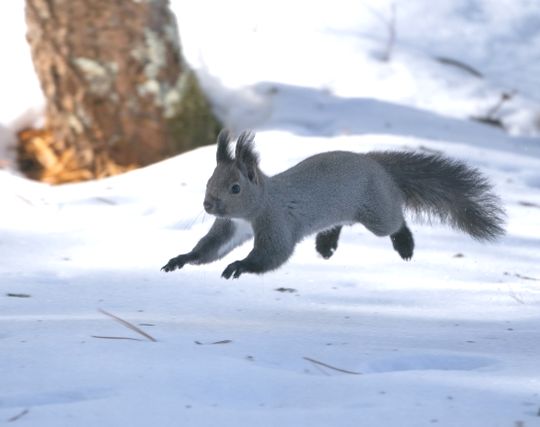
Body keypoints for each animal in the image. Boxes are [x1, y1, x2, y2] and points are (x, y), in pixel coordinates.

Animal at [161, 130, 506, 280]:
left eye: (235, 187)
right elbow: (210, 249)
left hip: (377, 211)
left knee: (395, 222)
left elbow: (273, 254)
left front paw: (239, 266)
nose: (208, 205)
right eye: (209, 180)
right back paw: (326, 245)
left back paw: (405, 244)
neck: (256, 206)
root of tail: (378, 167)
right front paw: (181, 258)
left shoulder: (276, 221)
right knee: (339, 223)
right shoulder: (231, 227)